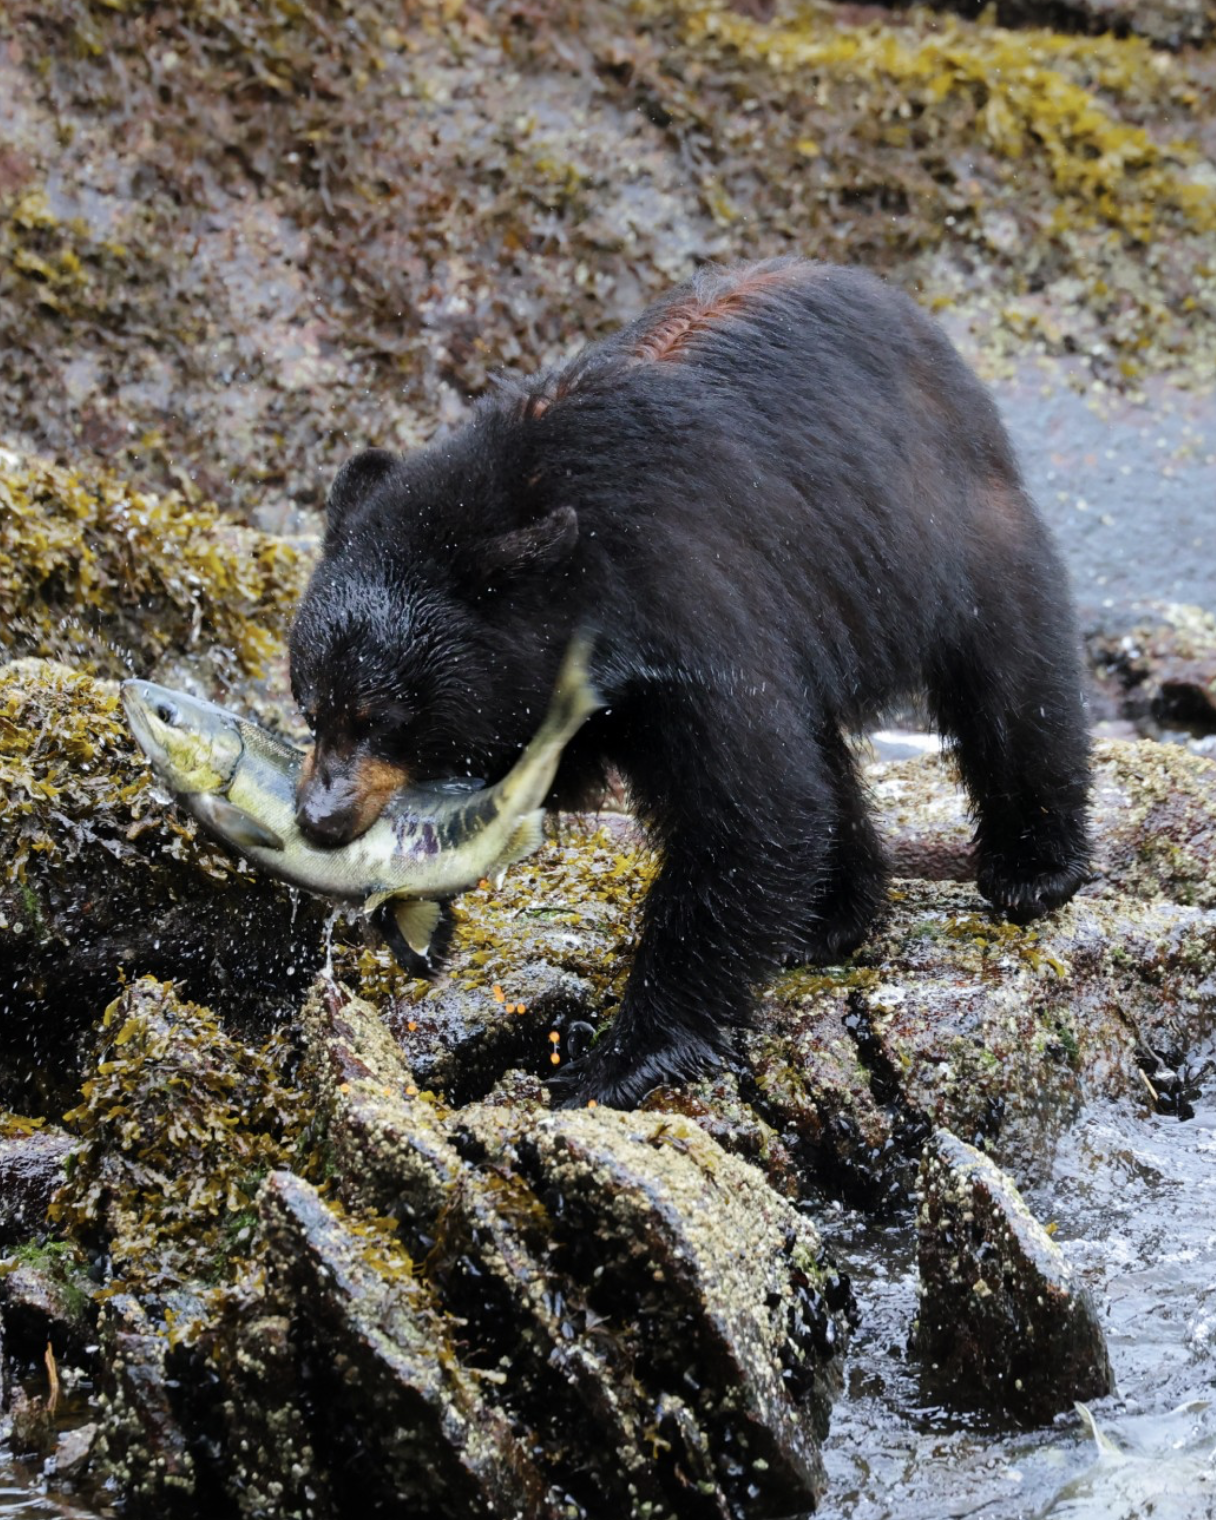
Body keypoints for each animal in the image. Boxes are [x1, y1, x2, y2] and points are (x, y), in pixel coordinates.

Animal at [288, 257, 1091, 1108]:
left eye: (382, 716)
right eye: (313, 708)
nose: (319, 818)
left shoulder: (688, 608)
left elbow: (750, 812)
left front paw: (617, 1058)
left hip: (947, 531)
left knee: (1013, 683)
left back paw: (1033, 867)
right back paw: (833, 913)